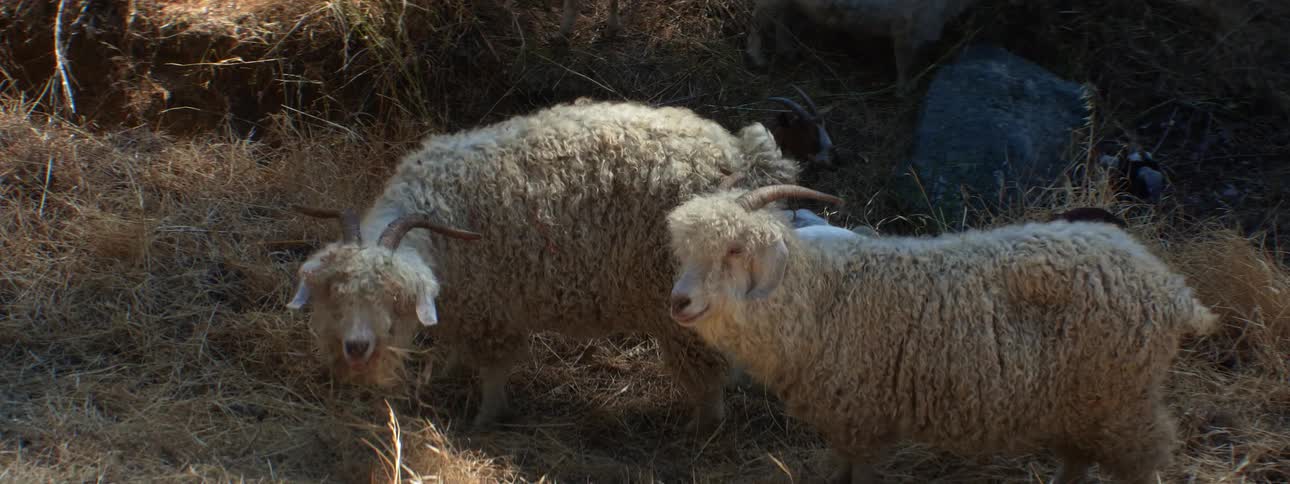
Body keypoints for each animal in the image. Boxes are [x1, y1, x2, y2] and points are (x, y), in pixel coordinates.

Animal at [285, 98, 806, 433]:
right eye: (333, 295)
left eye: (394, 300)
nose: (356, 348)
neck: (437, 213)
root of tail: (740, 157)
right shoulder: (464, 302)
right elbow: (456, 346)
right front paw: (449, 374)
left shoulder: (493, 307)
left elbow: (494, 370)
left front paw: (484, 419)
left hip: (687, 296)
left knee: (706, 366)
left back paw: (703, 427)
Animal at [663, 184, 1221, 483]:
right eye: (684, 250)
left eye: (734, 249)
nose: (679, 301)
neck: (822, 298)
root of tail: (1175, 291)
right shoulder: (844, 423)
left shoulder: (864, 419)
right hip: (1086, 404)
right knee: (1077, 460)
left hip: (1126, 405)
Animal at [745, 0, 983, 92]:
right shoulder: (908, 29)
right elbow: (906, 64)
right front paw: (905, 90)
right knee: (757, 20)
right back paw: (757, 58)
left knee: (780, 20)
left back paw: (788, 51)